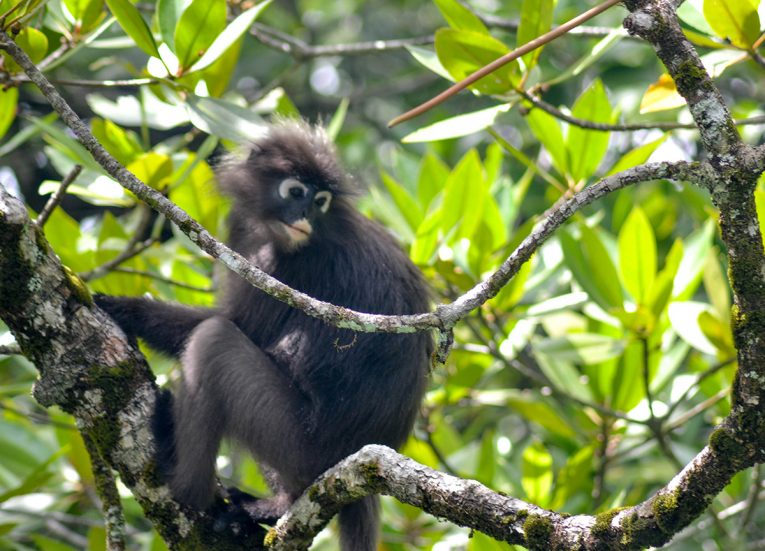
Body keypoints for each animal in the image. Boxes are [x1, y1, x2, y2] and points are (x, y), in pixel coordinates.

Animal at [94, 121, 433, 551]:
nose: (304, 214)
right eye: (297, 192)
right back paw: (276, 506)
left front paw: (123, 309)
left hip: (298, 440)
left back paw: (182, 478)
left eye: (320, 201)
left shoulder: (279, 266)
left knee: (214, 341)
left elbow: (234, 325)